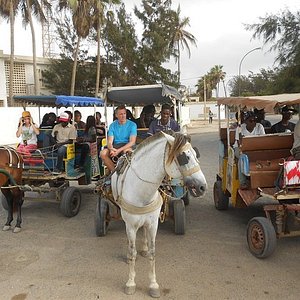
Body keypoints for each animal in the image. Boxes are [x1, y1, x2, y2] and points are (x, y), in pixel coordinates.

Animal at [110, 131, 206, 298]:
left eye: (195, 154)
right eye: (183, 157)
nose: (203, 186)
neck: (142, 191)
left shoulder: (153, 223)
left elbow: (152, 253)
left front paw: (153, 284)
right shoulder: (131, 225)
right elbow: (131, 252)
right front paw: (130, 283)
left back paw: (143, 247)